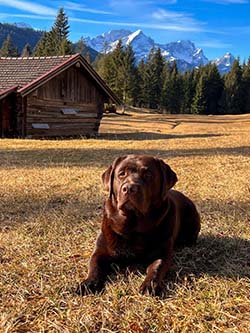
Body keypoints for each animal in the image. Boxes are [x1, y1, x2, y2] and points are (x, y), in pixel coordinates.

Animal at [77, 154, 200, 294]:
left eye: (148, 174)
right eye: (121, 174)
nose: (129, 188)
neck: (133, 225)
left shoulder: (162, 253)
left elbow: (156, 268)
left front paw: (149, 285)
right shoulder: (100, 251)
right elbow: (94, 266)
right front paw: (88, 283)